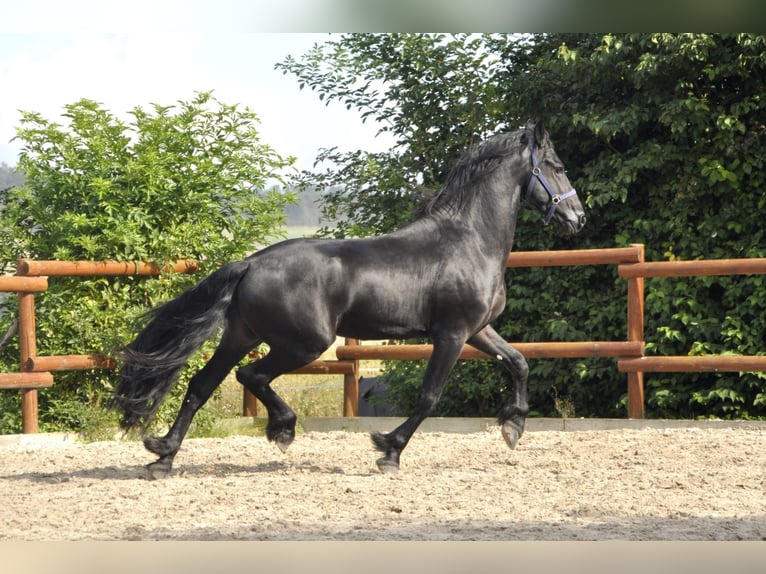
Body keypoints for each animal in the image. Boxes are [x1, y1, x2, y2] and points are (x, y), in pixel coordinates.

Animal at [113, 121, 586, 479]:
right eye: (557, 166)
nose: (578, 218)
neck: (469, 240)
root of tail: (251, 262)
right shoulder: (452, 334)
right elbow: (429, 396)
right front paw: (388, 450)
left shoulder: (479, 329)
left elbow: (519, 362)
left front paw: (513, 427)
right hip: (303, 343)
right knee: (250, 376)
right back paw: (281, 431)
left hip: (242, 335)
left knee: (202, 385)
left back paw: (163, 456)